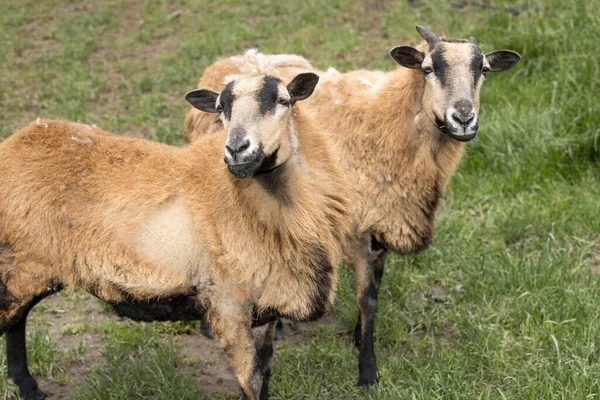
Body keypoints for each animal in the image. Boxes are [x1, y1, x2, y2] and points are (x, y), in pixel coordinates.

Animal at [0, 72, 350, 400]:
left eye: (283, 100)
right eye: (221, 108)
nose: (236, 151)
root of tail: (18, 140)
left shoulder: (267, 305)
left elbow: (264, 373)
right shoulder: (226, 302)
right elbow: (250, 380)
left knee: (17, 323)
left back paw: (29, 388)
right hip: (18, 263)